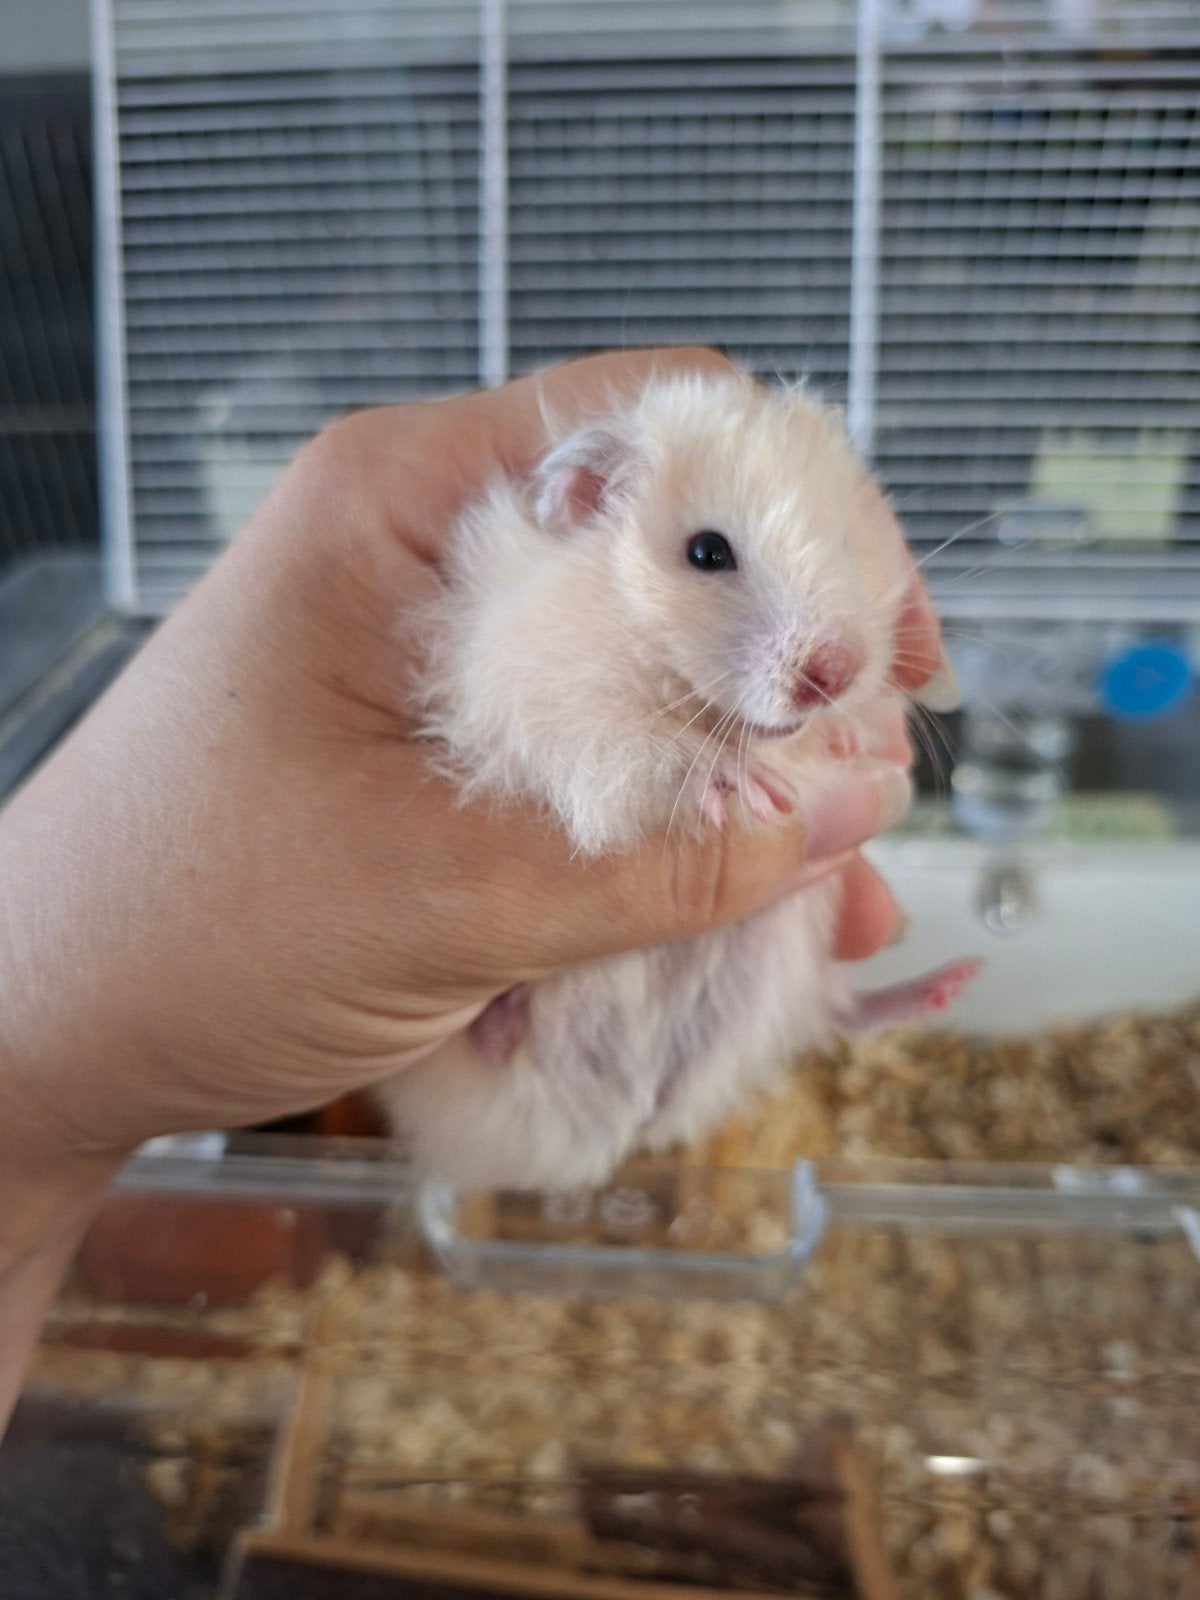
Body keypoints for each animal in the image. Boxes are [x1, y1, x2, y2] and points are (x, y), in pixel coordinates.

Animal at [376, 368, 976, 1190]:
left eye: (848, 545)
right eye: (707, 553)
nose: (833, 671)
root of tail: (623, 1132)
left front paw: (855, 738)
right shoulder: (542, 706)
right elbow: (644, 752)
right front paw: (745, 789)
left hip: (784, 962)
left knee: (835, 1009)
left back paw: (952, 979)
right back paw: (502, 1018)